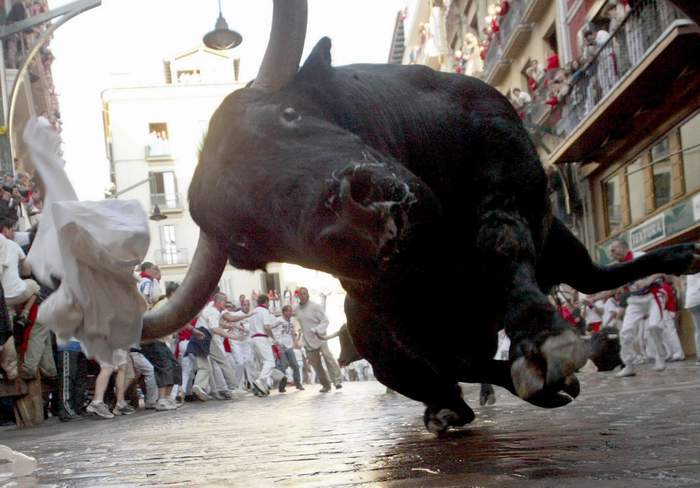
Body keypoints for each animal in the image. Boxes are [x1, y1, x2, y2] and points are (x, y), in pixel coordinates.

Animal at [144, 15, 700, 436]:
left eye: (288, 115)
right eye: (246, 242)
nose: (354, 222)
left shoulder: (509, 172)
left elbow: (500, 240)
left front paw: (545, 339)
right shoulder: (380, 312)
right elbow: (434, 360)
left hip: (563, 246)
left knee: (593, 277)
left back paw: (673, 263)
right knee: (457, 368)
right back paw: (469, 404)